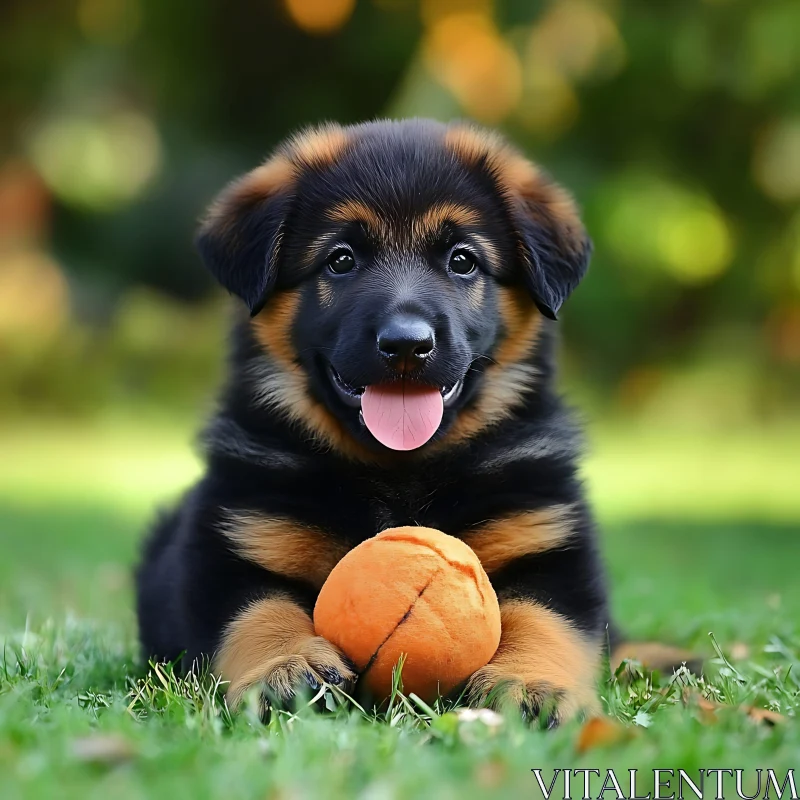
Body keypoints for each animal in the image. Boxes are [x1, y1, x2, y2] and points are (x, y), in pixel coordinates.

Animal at [138, 119, 608, 724]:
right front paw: (285, 667)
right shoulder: (235, 543)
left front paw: (531, 683)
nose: (406, 345)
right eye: (341, 260)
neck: (399, 472)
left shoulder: (546, 543)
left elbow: (544, 621)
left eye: (462, 260)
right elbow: (256, 613)